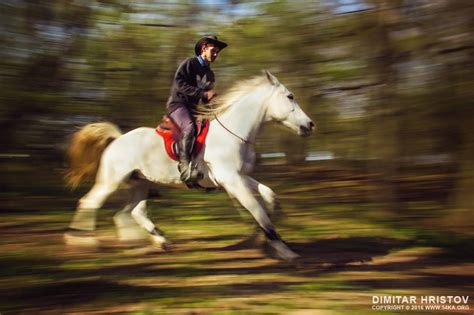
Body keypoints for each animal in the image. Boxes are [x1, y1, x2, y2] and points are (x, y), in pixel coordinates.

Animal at [64, 72, 314, 262]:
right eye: (290, 96)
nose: (309, 125)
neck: (234, 132)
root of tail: (117, 139)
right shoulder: (232, 181)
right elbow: (258, 211)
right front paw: (284, 250)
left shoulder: (239, 177)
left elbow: (268, 196)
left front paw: (260, 238)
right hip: (110, 181)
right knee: (89, 203)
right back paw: (82, 241)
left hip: (140, 184)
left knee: (134, 212)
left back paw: (160, 241)